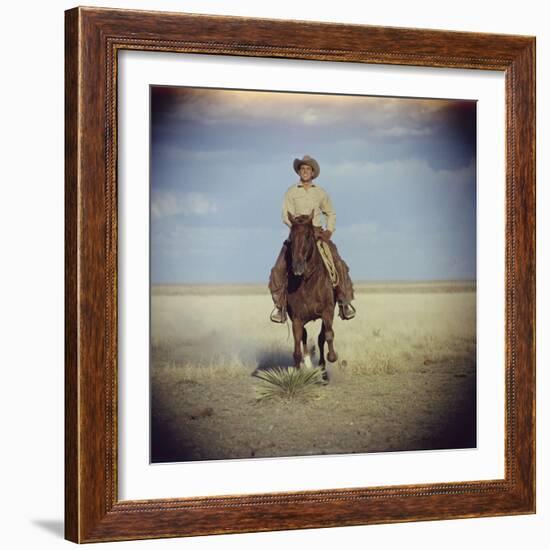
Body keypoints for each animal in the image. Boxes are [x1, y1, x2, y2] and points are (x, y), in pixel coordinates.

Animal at [286, 211, 338, 384]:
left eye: (308, 235)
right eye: (290, 237)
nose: (297, 266)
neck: (308, 281)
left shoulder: (327, 311)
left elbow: (327, 335)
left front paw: (331, 357)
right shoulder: (296, 318)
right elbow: (297, 348)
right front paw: (297, 374)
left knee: (322, 337)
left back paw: (323, 370)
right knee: (304, 337)